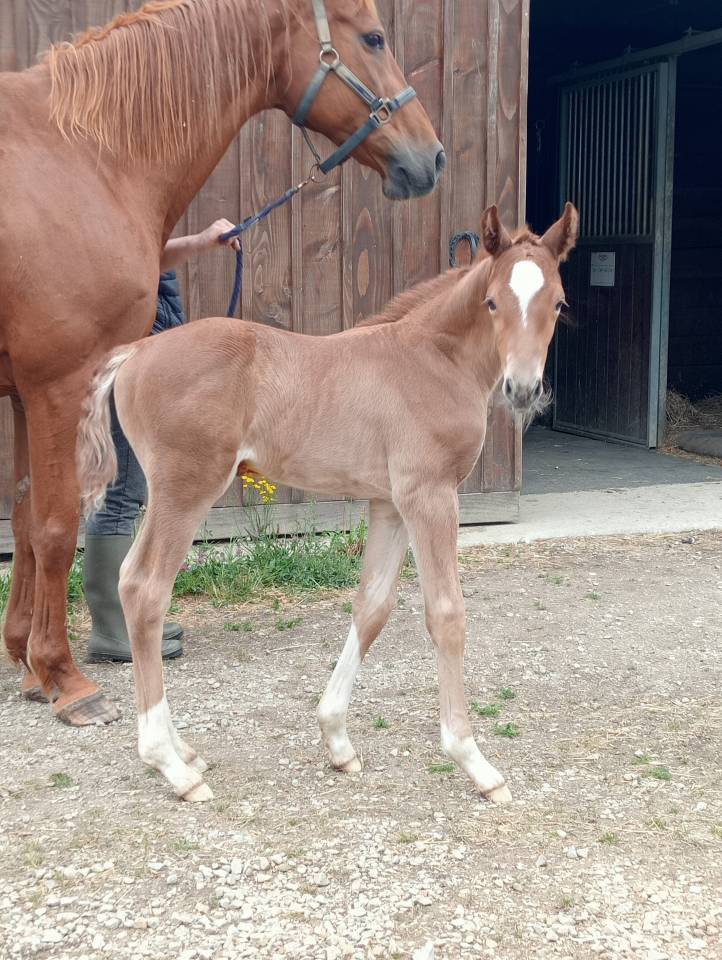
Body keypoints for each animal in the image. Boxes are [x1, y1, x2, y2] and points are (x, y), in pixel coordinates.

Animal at [0, 0, 443, 727]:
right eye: (375, 37)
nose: (430, 156)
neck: (86, 156)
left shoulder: (22, 393)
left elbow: (26, 519)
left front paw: (26, 662)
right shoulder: (60, 385)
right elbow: (58, 525)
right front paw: (64, 678)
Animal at [76, 202, 579, 803]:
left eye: (558, 302)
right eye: (492, 302)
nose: (522, 390)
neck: (433, 360)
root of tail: (138, 349)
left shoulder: (390, 503)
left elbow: (372, 607)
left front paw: (337, 740)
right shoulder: (429, 494)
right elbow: (446, 613)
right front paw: (473, 761)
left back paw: (185, 752)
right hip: (185, 487)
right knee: (143, 587)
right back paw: (170, 765)